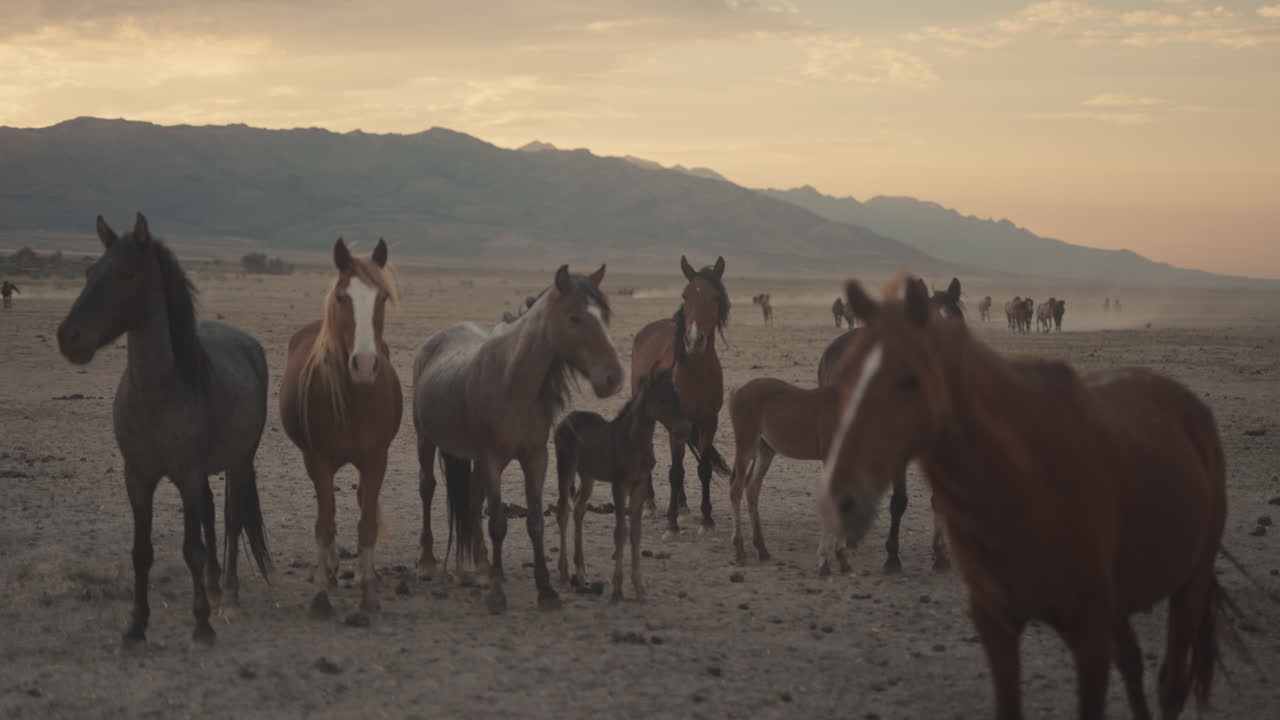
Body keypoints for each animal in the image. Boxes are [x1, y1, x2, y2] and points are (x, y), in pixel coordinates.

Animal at [56, 213, 271, 647]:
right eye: (89, 272)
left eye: (127, 274)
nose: (69, 337)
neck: (158, 393)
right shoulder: (138, 477)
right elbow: (142, 551)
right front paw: (136, 626)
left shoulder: (186, 475)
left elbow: (192, 548)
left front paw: (202, 625)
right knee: (211, 512)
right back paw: (213, 585)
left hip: (240, 462)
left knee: (233, 516)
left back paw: (229, 596)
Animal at [279, 238, 401, 618]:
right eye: (342, 297)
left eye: (382, 297)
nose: (364, 364)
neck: (356, 398)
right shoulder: (319, 460)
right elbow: (324, 520)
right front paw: (323, 588)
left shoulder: (377, 459)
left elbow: (366, 522)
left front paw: (368, 590)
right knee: (329, 508)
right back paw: (332, 568)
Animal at [413, 264, 622, 614]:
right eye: (575, 317)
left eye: (605, 316)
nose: (614, 377)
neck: (512, 383)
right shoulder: (492, 460)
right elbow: (498, 522)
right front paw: (497, 594)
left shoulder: (535, 458)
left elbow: (535, 521)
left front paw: (545, 590)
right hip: (425, 440)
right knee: (427, 489)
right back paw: (428, 563)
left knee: (472, 501)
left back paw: (481, 568)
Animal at [553, 366, 691, 601]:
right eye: (662, 400)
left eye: (678, 396)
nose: (684, 429)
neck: (634, 441)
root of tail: (565, 420)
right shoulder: (619, 484)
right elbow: (620, 532)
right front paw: (617, 588)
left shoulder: (640, 485)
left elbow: (635, 532)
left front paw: (639, 587)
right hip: (565, 467)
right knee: (563, 511)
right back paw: (563, 574)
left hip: (588, 475)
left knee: (579, 508)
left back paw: (580, 571)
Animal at [630, 255, 732, 533]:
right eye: (685, 295)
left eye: (715, 297)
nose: (694, 340)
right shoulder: (676, 423)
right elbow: (675, 472)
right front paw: (671, 524)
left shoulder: (708, 422)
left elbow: (703, 468)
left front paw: (706, 520)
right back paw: (650, 504)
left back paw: (684, 506)